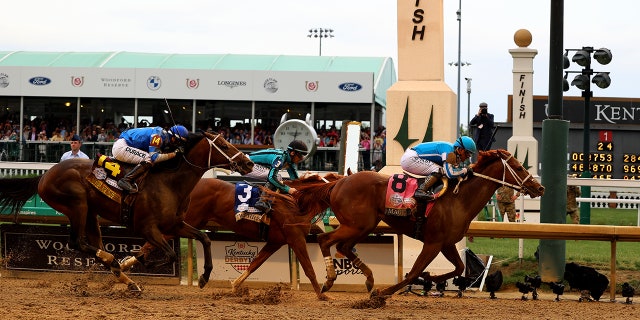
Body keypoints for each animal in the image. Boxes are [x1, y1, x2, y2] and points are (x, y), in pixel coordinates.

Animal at [0, 131, 252, 292]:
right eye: (225, 146)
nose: (248, 163)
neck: (170, 182)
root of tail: (44, 176)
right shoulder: (147, 228)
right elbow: (170, 254)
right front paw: (139, 261)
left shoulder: (175, 224)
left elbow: (204, 238)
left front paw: (204, 276)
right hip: (77, 205)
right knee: (77, 243)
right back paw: (113, 261)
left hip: (90, 213)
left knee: (94, 245)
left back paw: (127, 280)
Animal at [122, 172, 348, 300]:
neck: (296, 203)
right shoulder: (296, 239)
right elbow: (309, 269)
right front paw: (322, 294)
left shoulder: (276, 241)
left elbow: (255, 263)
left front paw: (235, 285)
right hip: (185, 220)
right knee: (155, 240)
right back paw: (126, 264)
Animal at [292, 149, 544, 298]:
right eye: (519, 167)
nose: (539, 188)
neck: (459, 199)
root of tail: (339, 182)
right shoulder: (433, 243)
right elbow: (413, 272)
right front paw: (384, 293)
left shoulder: (446, 243)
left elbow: (458, 268)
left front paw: (431, 279)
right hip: (357, 225)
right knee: (325, 240)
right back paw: (328, 282)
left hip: (365, 225)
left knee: (344, 247)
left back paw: (369, 280)